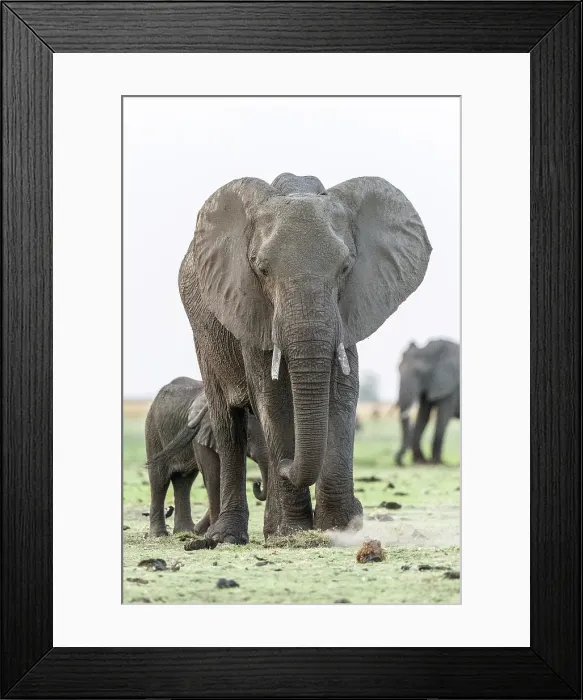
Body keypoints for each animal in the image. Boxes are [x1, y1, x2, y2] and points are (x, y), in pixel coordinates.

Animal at [145, 376, 269, 537]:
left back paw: (185, 531)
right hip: (153, 430)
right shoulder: (201, 434)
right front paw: (210, 532)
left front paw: (203, 531)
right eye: (246, 436)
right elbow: (213, 474)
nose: (257, 483)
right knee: (159, 479)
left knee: (184, 481)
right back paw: (160, 535)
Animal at [178, 172, 431, 543]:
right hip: (205, 334)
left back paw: (272, 530)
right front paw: (296, 532)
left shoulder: (348, 310)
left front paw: (339, 528)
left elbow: (343, 394)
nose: (287, 467)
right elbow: (273, 399)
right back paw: (231, 536)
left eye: (346, 267)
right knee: (228, 426)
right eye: (261, 269)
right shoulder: (251, 308)